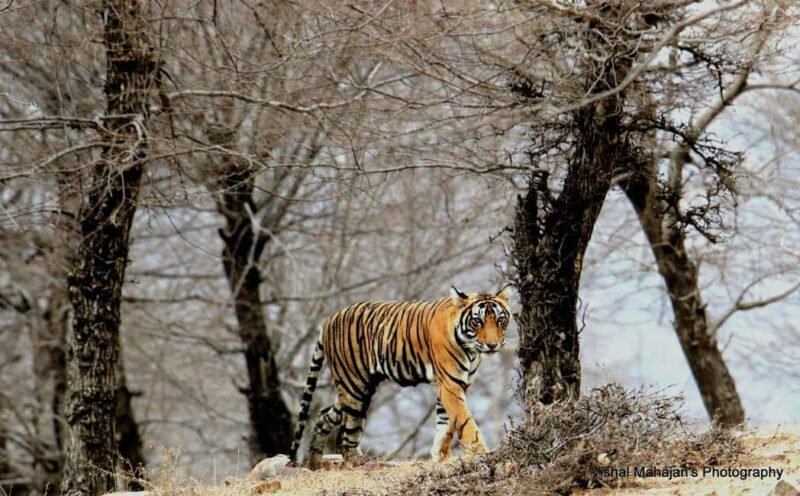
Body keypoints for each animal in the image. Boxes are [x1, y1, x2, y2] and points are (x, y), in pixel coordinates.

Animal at [288, 285, 512, 468]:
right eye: (477, 321)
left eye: (500, 319)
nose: (493, 345)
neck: (470, 348)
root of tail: (329, 319)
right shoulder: (450, 384)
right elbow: (464, 420)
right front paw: (481, 453)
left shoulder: (457, 384)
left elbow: (446, 423)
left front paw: (441, 457)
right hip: (355, 386)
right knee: (348, 431)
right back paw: (358, 461)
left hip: (356, 386)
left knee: (323, 416)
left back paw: (314, 464)